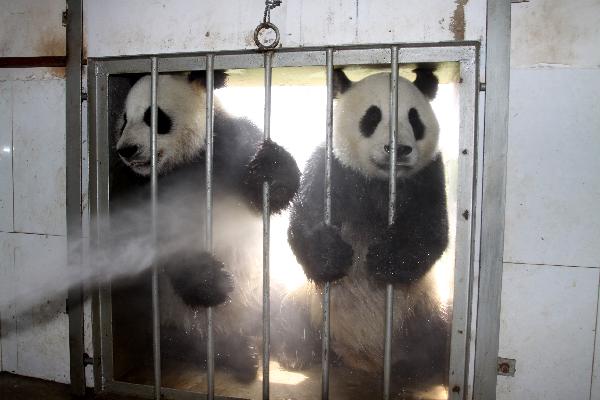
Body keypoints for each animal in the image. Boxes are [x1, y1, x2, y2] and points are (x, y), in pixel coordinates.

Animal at [109, 70, 300, 382]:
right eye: (124, 119)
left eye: (155, 117)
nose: (127, 150)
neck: (184, 162)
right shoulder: (135, 185)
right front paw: (211, 280)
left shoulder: (230, 144)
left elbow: (264, 196)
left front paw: (272, 170)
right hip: (169, 313)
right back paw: (238, 355)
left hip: (269, 280)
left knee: (285, 306)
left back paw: (293, 347)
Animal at [284, 69, 448, 394]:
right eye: (372, 117)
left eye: (414, 119)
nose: (399, 149)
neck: (380, 179)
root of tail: (363, 361)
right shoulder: (331, 166)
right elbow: (305, 219)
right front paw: (331, 255)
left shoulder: (428, 174)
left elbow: (432, 230)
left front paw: (387, 260)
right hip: (307, 301)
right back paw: (295, 351)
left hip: (427, 308)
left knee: (439, 336)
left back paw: (416, 369)